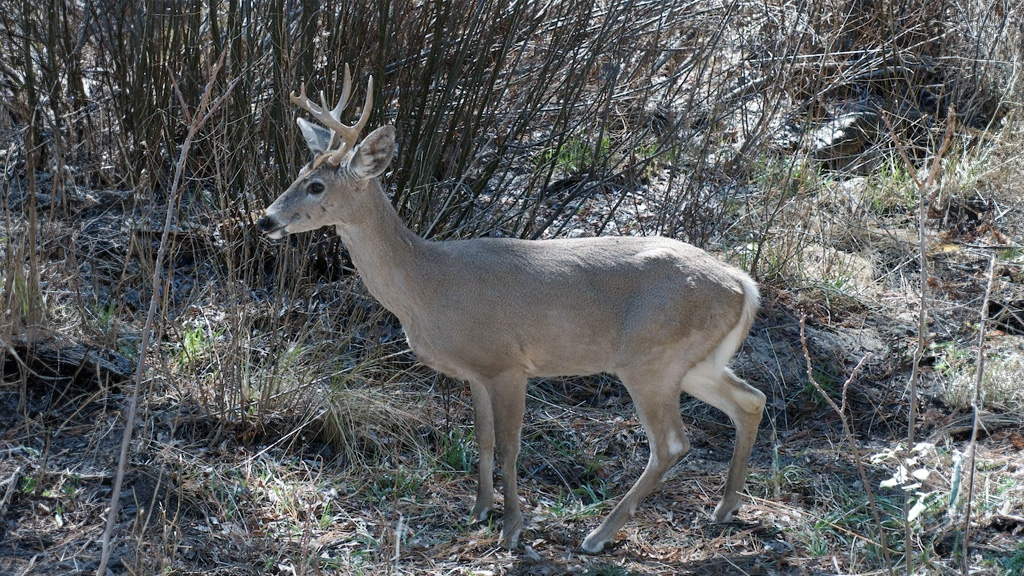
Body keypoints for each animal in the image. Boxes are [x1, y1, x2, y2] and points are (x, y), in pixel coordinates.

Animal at [258, 66, 770, 553]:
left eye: (316, 185)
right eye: (297, 174)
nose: (264, 219)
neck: (427, 283)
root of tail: (743, 284)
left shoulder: (508, 363)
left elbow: (509, 448)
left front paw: (511, 531)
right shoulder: (475, 371)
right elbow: (482, 440)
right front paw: (479, 511)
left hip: (652, 359)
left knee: (671, 445)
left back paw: (598, 536)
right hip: (696, 362)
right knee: (750, 401)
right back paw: (724, 509)